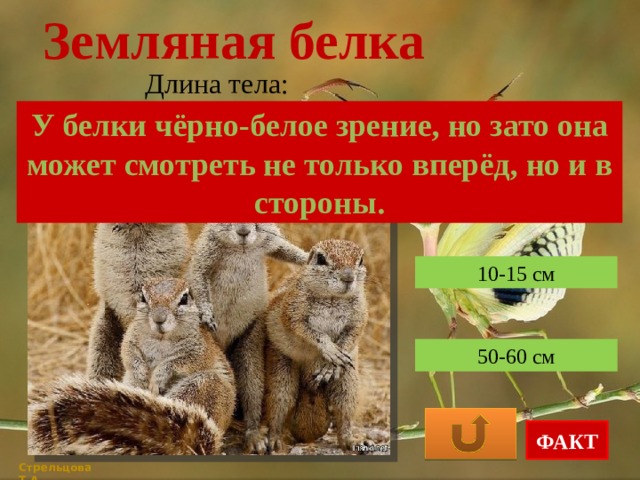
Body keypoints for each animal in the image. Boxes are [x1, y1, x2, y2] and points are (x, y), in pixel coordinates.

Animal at [28, 277, 235, 455]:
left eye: (184, 298)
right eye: (143, 297)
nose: (159, 319)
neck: (161, 338)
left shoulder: (200, 350)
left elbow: (181, 361)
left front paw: (159, 374)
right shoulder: (131, 338)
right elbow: (129, 354)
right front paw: (140, 372)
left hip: (204, 386)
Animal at [187, 223, 307, 453]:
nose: (243, 232)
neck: (241, 249)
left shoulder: (270, 240)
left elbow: (286, 249)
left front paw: (311, 257)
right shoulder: (207, 248)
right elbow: (198, 274)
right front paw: (207, 314)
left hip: (250, 340)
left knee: (251, 384)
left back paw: (254, 435)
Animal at [264, 239, 369, 453]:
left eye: (361, 260)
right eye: (321, 259)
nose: (348, 277)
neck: (333, 298)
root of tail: (309, 386)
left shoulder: (360, 315)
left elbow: (352, 335)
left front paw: (331, 365)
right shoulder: (292, 308)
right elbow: (307, 330)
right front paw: (329, 349)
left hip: (349, 380)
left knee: (344, 410)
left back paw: (350, 440)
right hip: (280, 370)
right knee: (279, 403)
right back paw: (274, 439)